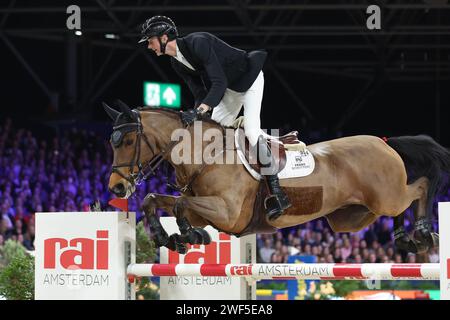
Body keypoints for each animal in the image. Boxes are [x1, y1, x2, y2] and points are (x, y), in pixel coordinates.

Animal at [103, 100, 448, 255]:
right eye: (111, 143)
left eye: (129, 141)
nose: (117, 188)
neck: (205, 155)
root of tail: (384, 141)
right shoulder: (208, 211)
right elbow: (155, 200)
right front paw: (169, 238)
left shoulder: (227, 213)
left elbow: (178, 205)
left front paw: (188, 236)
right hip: (353, 217)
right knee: (398, 206)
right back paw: (404, 237)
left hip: (386, 196)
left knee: (420, 187)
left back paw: (422, 233)